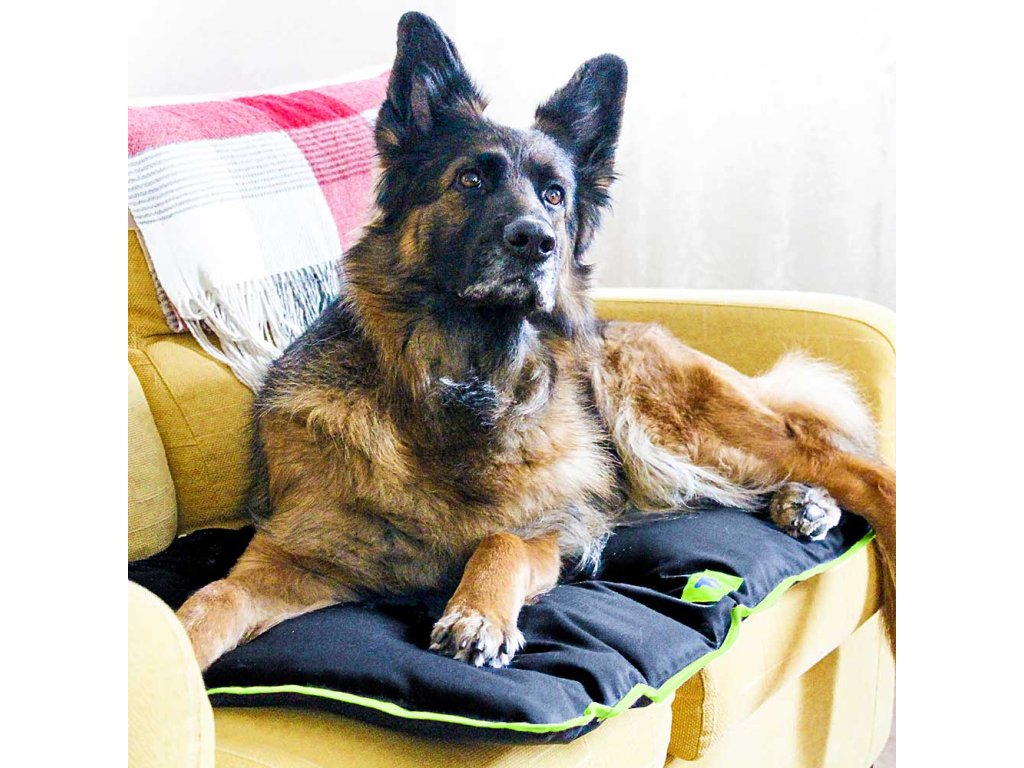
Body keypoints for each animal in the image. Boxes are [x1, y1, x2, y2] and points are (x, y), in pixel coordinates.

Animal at [177, 12, 896, 672]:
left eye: (554, 195)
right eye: (470, 180)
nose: (536, 243)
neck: (464, 379)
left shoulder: (553, 535)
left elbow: (500, 542)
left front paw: (476, 614)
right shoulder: (298, 553)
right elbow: (214, 597)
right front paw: (175, 655)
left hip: (667, 422)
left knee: (840, 459)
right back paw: (801, 502)